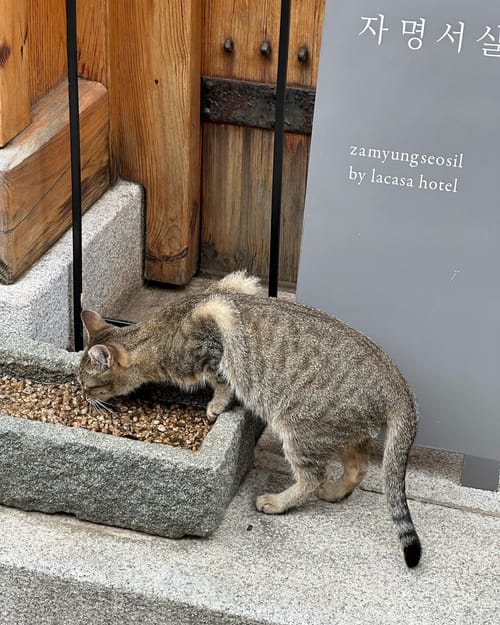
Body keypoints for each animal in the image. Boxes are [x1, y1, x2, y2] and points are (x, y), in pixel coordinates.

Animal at [79, 270, 422, 564]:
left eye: (88, 385)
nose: (82, 396)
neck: (158, 335)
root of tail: (399, 387)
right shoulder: (237, 283)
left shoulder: (213, 339)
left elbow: (220, 381)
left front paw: (216, 406)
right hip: (340, 431)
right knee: (357, 467)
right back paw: (335, 493)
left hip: (299, 430)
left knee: (313, 477)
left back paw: (278, 502)